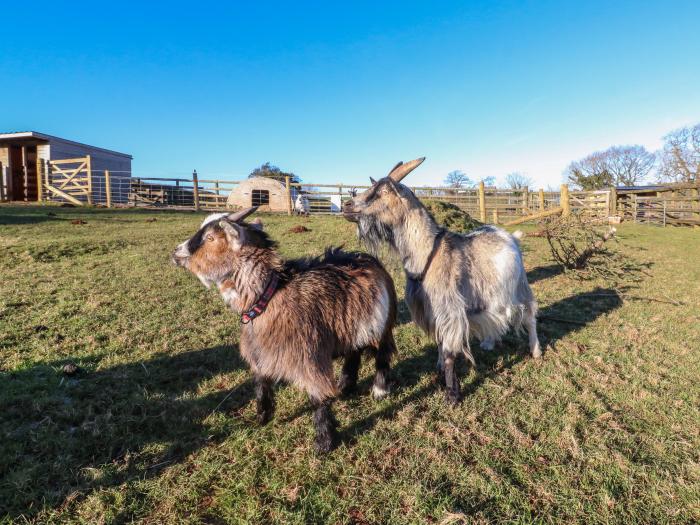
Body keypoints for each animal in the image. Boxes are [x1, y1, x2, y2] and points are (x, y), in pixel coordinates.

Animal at [172, 207, 396, 452]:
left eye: (211, 238)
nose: (176, 252)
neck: (270, 294)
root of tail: (369, 259)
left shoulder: (309, 355)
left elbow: (317, 396)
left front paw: (324, 442)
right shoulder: (262, 351)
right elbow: (261, 384)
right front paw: (262, 417)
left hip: (382, 325)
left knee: (383, 354)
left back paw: (379, 390)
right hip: (350, 325)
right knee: (354, 352)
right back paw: (346, 386)